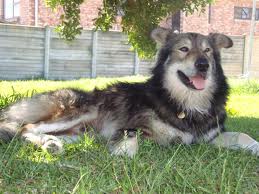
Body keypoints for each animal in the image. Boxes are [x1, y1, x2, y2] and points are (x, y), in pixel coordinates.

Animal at [0, 27, 258, 157]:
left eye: (207, 51)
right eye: (184, 49)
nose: (203, 65)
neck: (187, 104)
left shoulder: (211, 136)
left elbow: (243, 136)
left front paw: (255, 147)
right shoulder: (139, 129)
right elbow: (130, 135)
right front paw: (123, 152)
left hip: (80, 133)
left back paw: (51, 144)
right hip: (82, 110)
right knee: (26, 127)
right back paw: (48, 143)